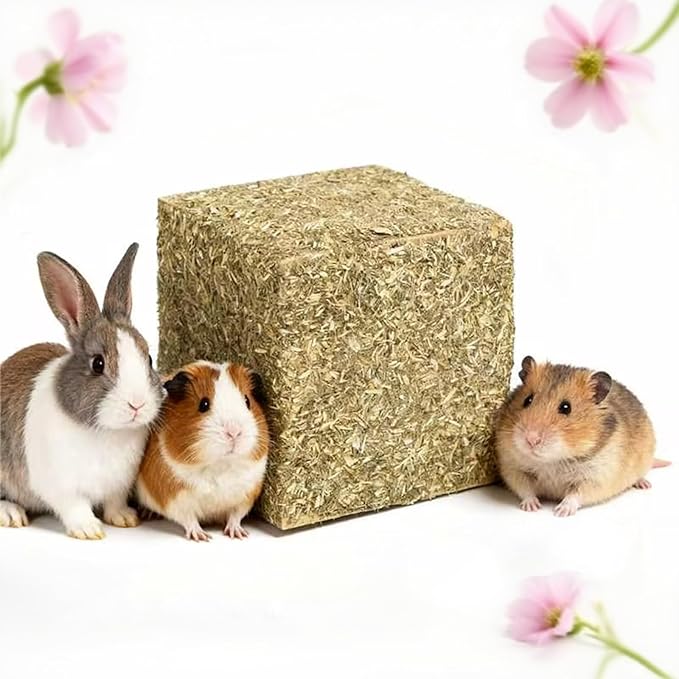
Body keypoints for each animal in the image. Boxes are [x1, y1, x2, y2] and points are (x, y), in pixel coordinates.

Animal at [0, 243, 164, 539]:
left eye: (148, 359)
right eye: (98, 364)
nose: (137, 404)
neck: (108, 433)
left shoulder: (118, 485)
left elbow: (114, 502)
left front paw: (124, 519)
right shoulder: (60, 486)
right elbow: (74, 506)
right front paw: (88, 530)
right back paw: (11, 513)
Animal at [136, 360, 270, 540]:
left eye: (247, 401)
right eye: (203, 404)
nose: (234, 431)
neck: (221, 465)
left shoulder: (246, 496)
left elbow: (236, 516)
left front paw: (238, 534)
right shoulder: (175, 498)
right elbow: (189, 519)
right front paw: (201, 537)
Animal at [494, 355, 665, 517]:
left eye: (566, 408)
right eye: (527, 400)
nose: (531, 439)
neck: (553, 460)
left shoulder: (596, 478)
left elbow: (575, 495)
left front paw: (561, 512)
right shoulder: (513, 468)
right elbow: (525, 489)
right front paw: (532, 507)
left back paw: (644, 484)